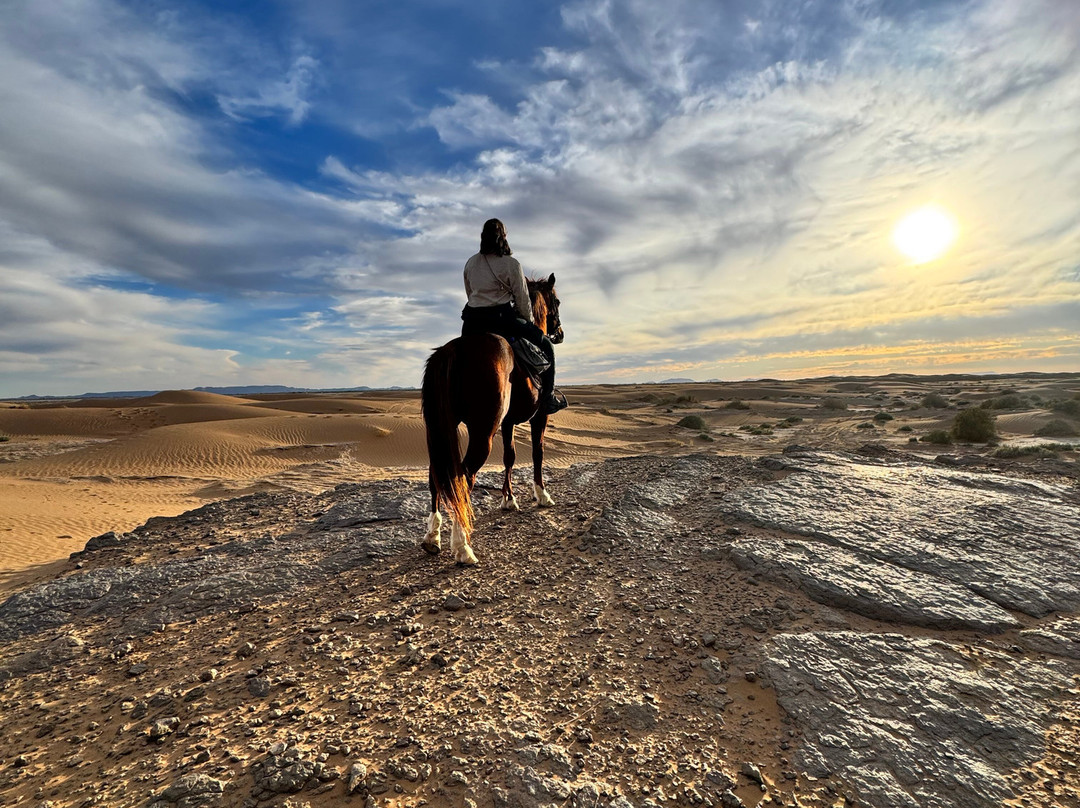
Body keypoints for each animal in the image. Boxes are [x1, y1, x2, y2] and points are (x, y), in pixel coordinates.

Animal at [420, 273, 563, 565]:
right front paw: (542, 494)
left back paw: (432, 537)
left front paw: (508, 499)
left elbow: (509, 456)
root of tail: (454, 349)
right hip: (482, 432)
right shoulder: (540, 416)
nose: (560, 333)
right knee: (463, 478)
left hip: (438, 430)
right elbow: (538, 452)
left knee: (435, 476)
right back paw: (462, 546)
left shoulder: (507, 423)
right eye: (556, 301)